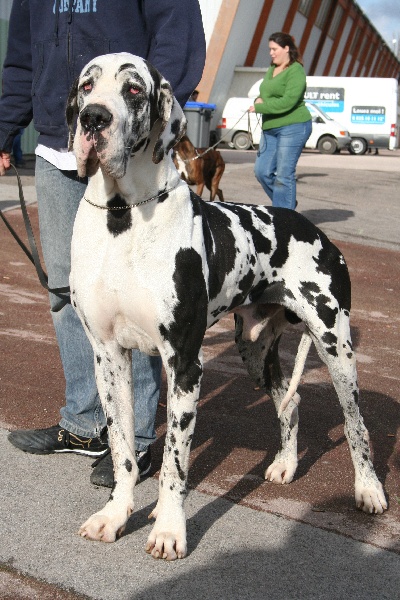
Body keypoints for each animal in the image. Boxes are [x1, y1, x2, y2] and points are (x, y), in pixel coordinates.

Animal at [66, 54, 388, 560]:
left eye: (134, 89)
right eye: (86, 85)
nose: (93, 118)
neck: (124, 215)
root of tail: (317, 232)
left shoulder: (184, 364)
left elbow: (175, 464)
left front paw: (169, 530)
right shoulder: (109, 358)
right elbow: (122, 452)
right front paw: (116, 516)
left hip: (337, 348)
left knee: (357, 425)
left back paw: (369, 489)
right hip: (256, 350)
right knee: (291, 404)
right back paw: (285, 465)